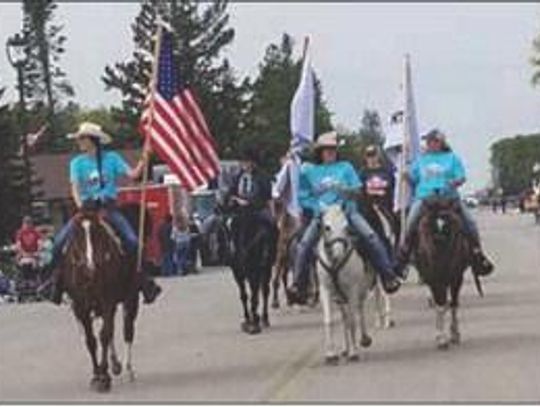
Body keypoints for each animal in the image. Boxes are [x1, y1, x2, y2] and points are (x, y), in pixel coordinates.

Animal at [59, 210, 139, 392]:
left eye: (97, 232)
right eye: (77, 234)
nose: (89, 267)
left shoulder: (107, 301)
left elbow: (104, 335)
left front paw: (103, 376)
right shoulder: (80, 307)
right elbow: (91, 340)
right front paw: (96, 375)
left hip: (130, 300)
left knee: (127, 330)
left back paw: (127, 369)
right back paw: (115, 365)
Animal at [316, 206, 376, 364]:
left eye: (346, 227)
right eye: (327, 227)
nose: (338, 253)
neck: (334, 263)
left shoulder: (352, 290)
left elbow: (353, 320)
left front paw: (354, 353)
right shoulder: (325, 290)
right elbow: (330, 320)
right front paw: (331, 355)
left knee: (361, 308)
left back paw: (365, 339)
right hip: (341, 298)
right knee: (346, 317)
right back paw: (345, 348)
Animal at [414, 198, 472, 350]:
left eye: (449, 223)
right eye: (429, 224)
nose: (439, 241)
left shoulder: (456, 278)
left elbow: (454, 304)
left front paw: (455, 334)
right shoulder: (434, 279)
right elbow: (440, 305)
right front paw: (441, 338)